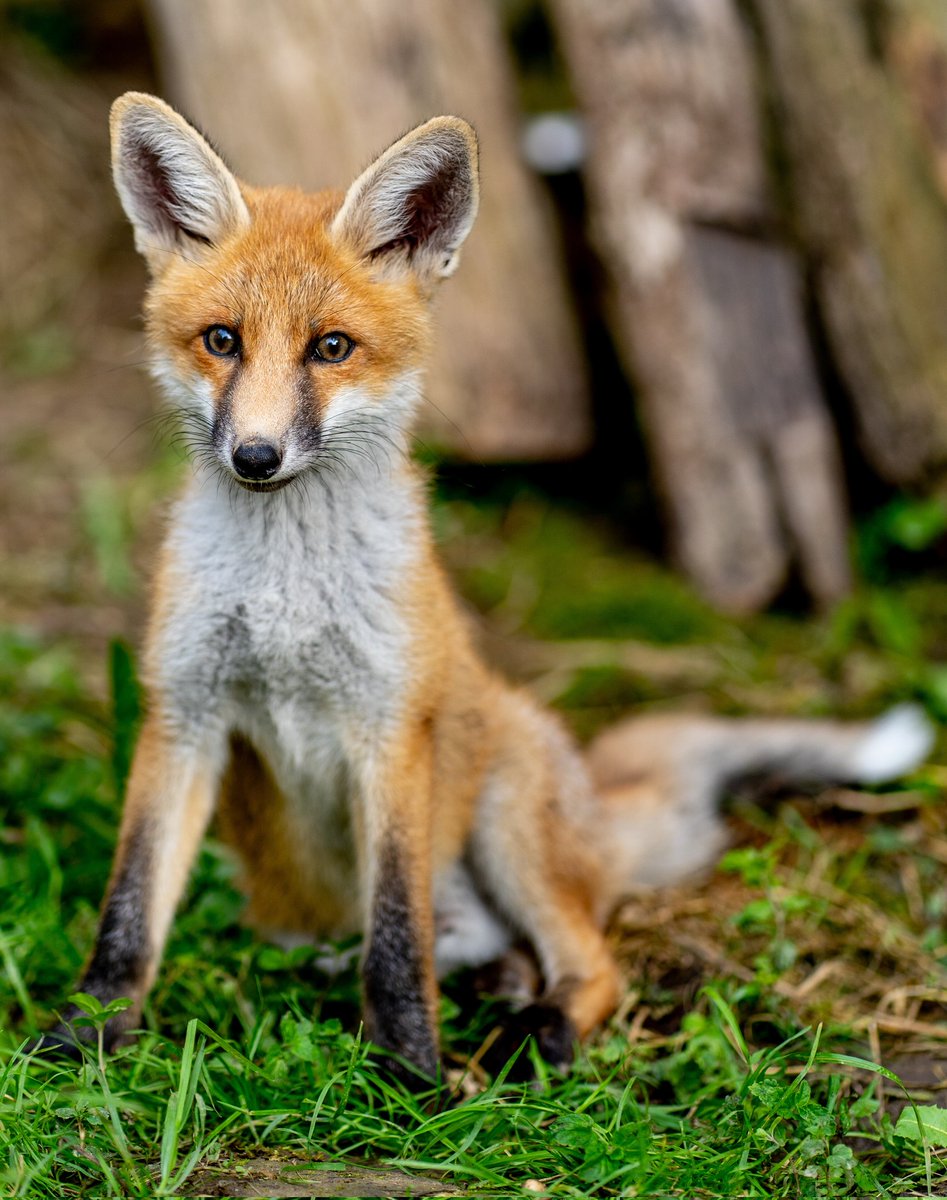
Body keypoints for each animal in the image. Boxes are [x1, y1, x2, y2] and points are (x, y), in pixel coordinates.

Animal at [42, 92, 934, 1081]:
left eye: (331, 348)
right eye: (222, 341)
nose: (256, 457)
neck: (285, 599)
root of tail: (591, 798)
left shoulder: (389, 727)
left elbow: (398, 941)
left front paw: (409, 1077)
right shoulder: (183, 713)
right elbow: (127, 917)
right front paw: (82, 1039)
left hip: (507, 823)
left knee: (589, 962)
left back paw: (537, 1032)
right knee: (476, 943)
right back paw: (480, 987)